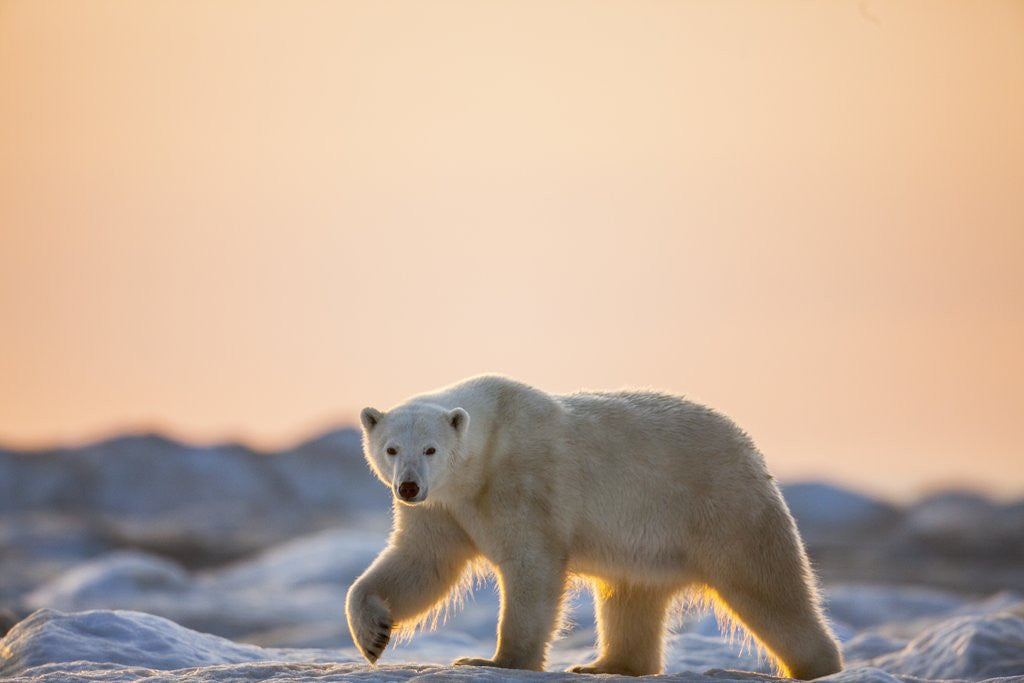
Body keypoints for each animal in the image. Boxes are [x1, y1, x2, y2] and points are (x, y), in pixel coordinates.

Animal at [345, 375, 843, 678]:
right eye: (391, 448)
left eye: (430, 449)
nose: (408, 486)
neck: (484, 451)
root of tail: (749, 448)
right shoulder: (444, 507)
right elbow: (422, 563)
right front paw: (373, 636)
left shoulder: (521, 481)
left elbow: (532, 566)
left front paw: (495, 660)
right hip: (646, 543)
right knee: (630, 596)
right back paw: (605, 665)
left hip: (721, 508)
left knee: (767, 587)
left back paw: (818, 666)